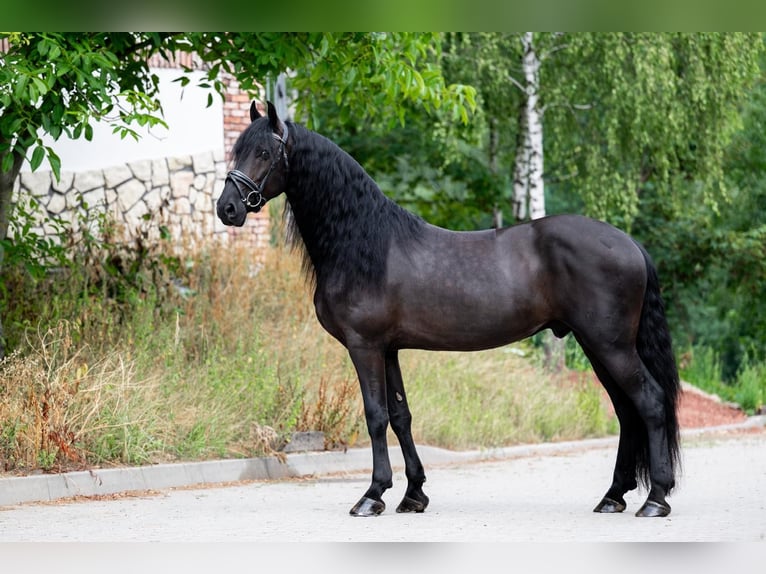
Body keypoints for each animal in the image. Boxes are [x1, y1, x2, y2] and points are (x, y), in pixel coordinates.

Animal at [216, 101, 681, 519]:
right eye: (237, 151)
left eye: (264, 153)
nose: (227, 208)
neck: (364, 244)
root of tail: (629, 244)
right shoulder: (389, 349)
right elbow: (401, 415)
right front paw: (413, 495)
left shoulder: (364, 346)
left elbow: (375, 415)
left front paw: (372, 495)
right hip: (597, 345)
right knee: (626, 412)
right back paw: (614, 496)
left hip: (609, 345)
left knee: (650, 403)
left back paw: (655, 499)